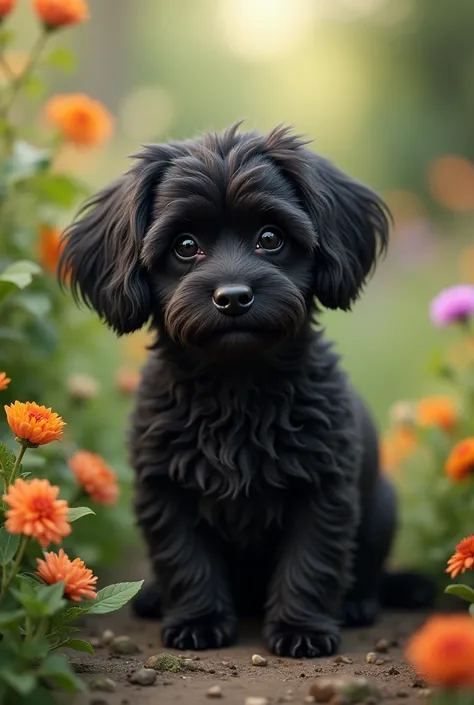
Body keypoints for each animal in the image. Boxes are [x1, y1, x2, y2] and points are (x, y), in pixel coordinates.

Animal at [59, 124, 434, 656]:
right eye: (185, 245)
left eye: (270, 238)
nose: (233, 297)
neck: (236, 390)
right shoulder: (165, 489)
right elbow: (185, 559)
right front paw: (198, 620)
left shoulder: (323, 486)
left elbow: (311, 560)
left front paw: (301, 628)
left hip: (383, 503)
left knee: (366, 574)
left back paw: (358, 604)